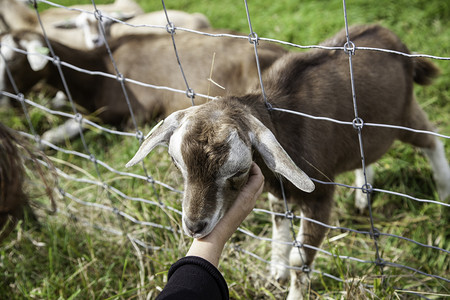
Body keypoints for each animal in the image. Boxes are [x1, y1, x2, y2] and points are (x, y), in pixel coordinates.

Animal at [125, 24, 450, 298]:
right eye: (177, 163)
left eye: (238, 171)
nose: (194, 226)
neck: (284, 122)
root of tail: (392, 38)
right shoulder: (278, 192)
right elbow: (279, 227)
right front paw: (276, 271)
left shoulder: (321, 195)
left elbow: (300, 257)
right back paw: (363, 196)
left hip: (401, 116)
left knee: (431, 137)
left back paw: (443, 191)